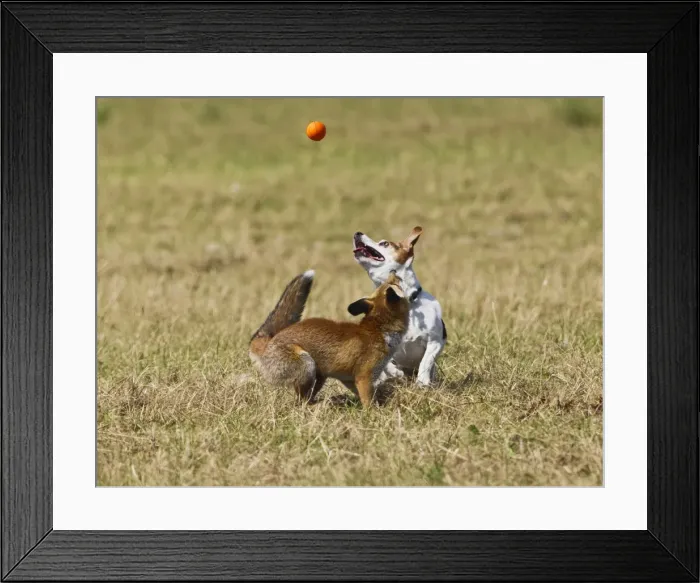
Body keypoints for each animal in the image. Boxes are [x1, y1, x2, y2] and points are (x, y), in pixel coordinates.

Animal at [248, 269, 410, 407]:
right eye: (394, 283)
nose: (393, 271)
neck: (380, 331)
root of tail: (269, 342)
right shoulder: (364, 376)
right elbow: (369, 403)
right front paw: (374, 414)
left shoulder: (349, 379)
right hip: (307, 365)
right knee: (301, 403)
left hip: (320, 376)